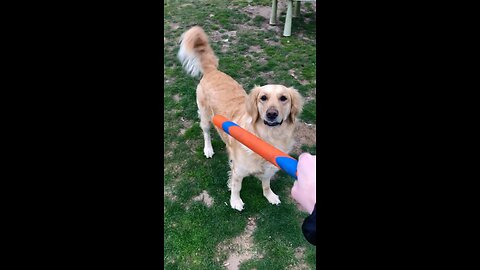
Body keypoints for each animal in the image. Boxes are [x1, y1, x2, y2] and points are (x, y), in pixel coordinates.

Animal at [178, 25, 302, 211]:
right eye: (263, 98)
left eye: (283, 98)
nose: (271, 114)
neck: (268, 137)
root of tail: (212, 71)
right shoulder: (239, 169)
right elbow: (237, 186)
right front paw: (235, 201)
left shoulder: (270, 166)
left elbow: (266, 184)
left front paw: (270, 196)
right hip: (205, 116)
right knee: (206, 133)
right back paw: (208, 149)